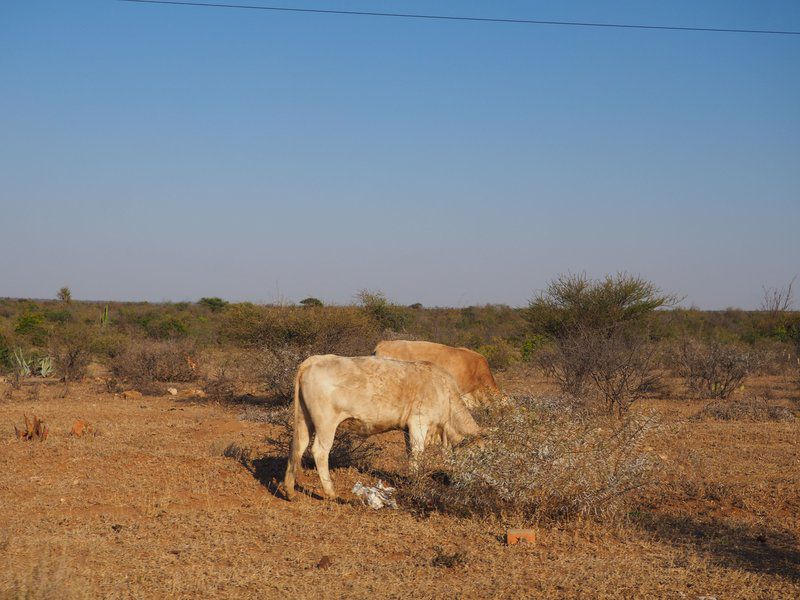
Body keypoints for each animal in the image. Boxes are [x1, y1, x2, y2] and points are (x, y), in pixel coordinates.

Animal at [284, 354, 478, 500]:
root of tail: (315, 359)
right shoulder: (419, 422)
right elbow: (417, 452)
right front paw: (416, 482)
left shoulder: (408, 428)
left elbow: (410, 452)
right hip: (326, 422)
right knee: (319, 451)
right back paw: (331, 493)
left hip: (304, 419)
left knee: (298, 447)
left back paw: (290, 491)